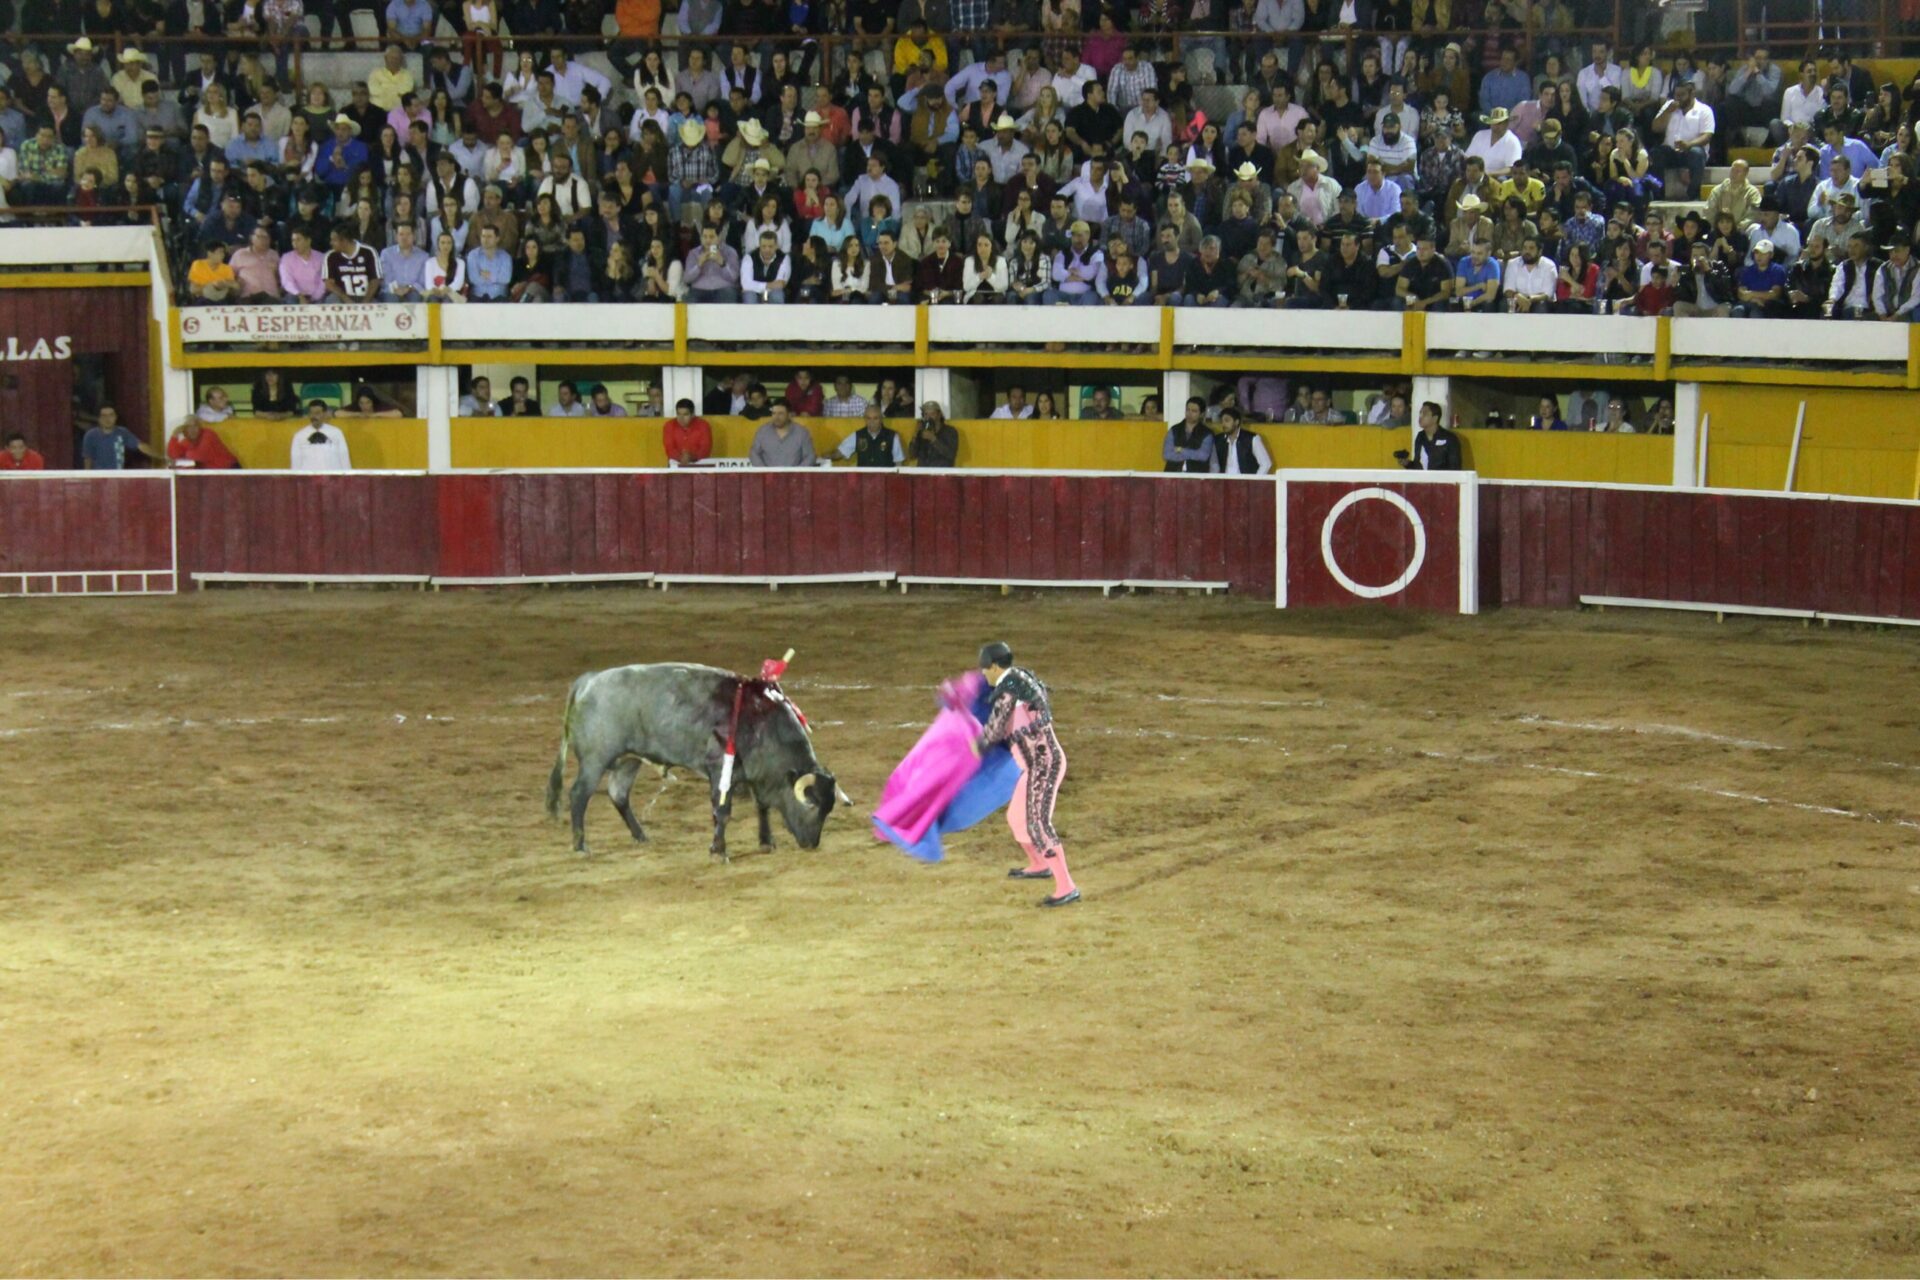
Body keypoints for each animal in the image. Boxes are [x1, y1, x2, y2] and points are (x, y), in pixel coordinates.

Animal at [545, 660, 837, 859]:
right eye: (812, 805)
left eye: (828, 809)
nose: (812, 843)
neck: (762, 722)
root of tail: (590, 680)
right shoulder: (720, 770)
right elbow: (723, 811)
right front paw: (719, 851)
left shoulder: (757, 774)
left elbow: (762, 806)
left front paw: (766, 841)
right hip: (595, 761)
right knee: (578, 795)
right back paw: (580, 845)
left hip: (629, 760)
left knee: (618, 794)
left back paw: (640, 836)